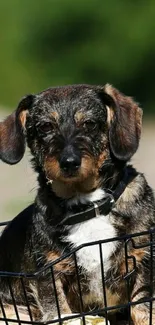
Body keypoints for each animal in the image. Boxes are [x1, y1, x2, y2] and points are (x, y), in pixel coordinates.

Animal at [0, 84, 154, 324]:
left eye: (89, 123)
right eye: (45, 126)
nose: (69, 162)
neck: (88, 206)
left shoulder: (142, 261)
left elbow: (142, 309)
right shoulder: (49, 275)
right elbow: (61, 313)